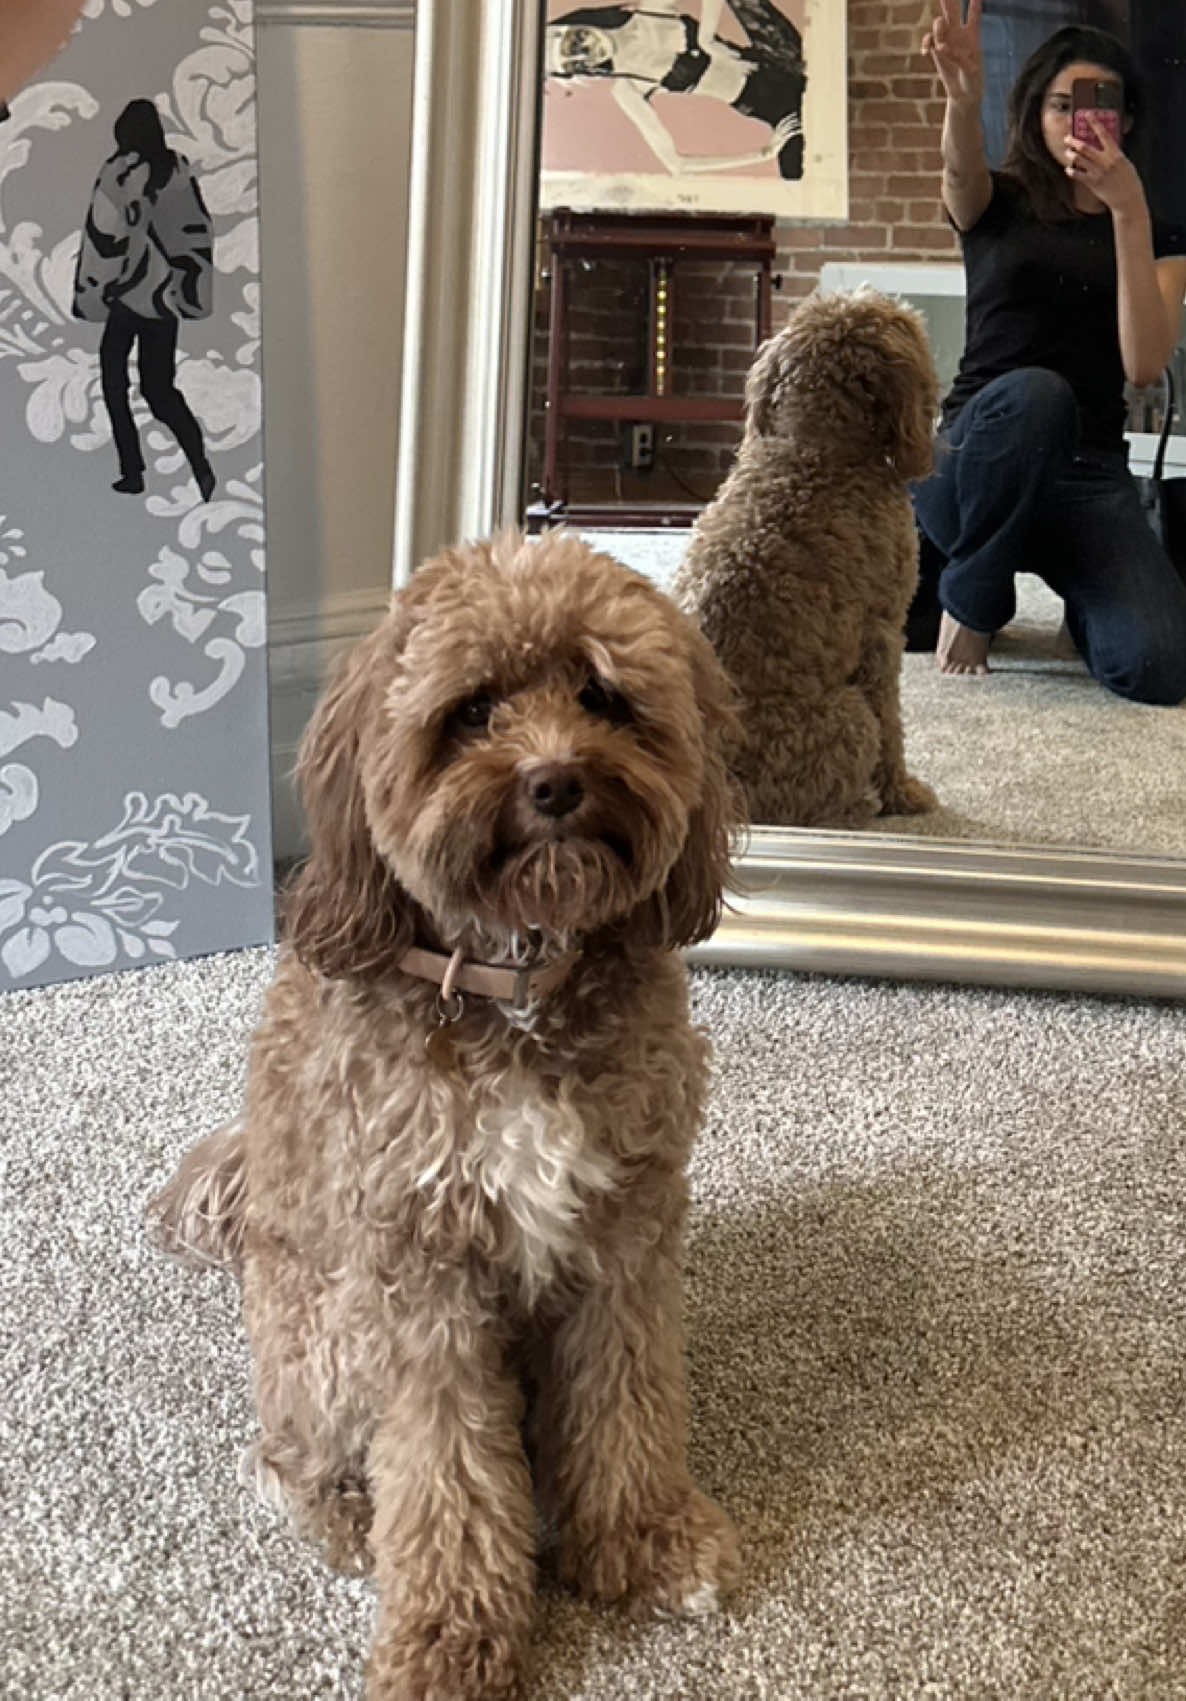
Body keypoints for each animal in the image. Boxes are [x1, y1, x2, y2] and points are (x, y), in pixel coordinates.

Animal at [147, 531, 743, 1701]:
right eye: (472, 712)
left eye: (602, 695)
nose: (556, 781)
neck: (516, 985)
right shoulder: (420, 1277)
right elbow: (449, 1470)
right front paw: (452, 1636)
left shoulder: (626, 1235)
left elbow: (631, 1399)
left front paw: (645, 1541)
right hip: (326, 1335)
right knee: (287, 1458)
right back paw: (353, 1520)